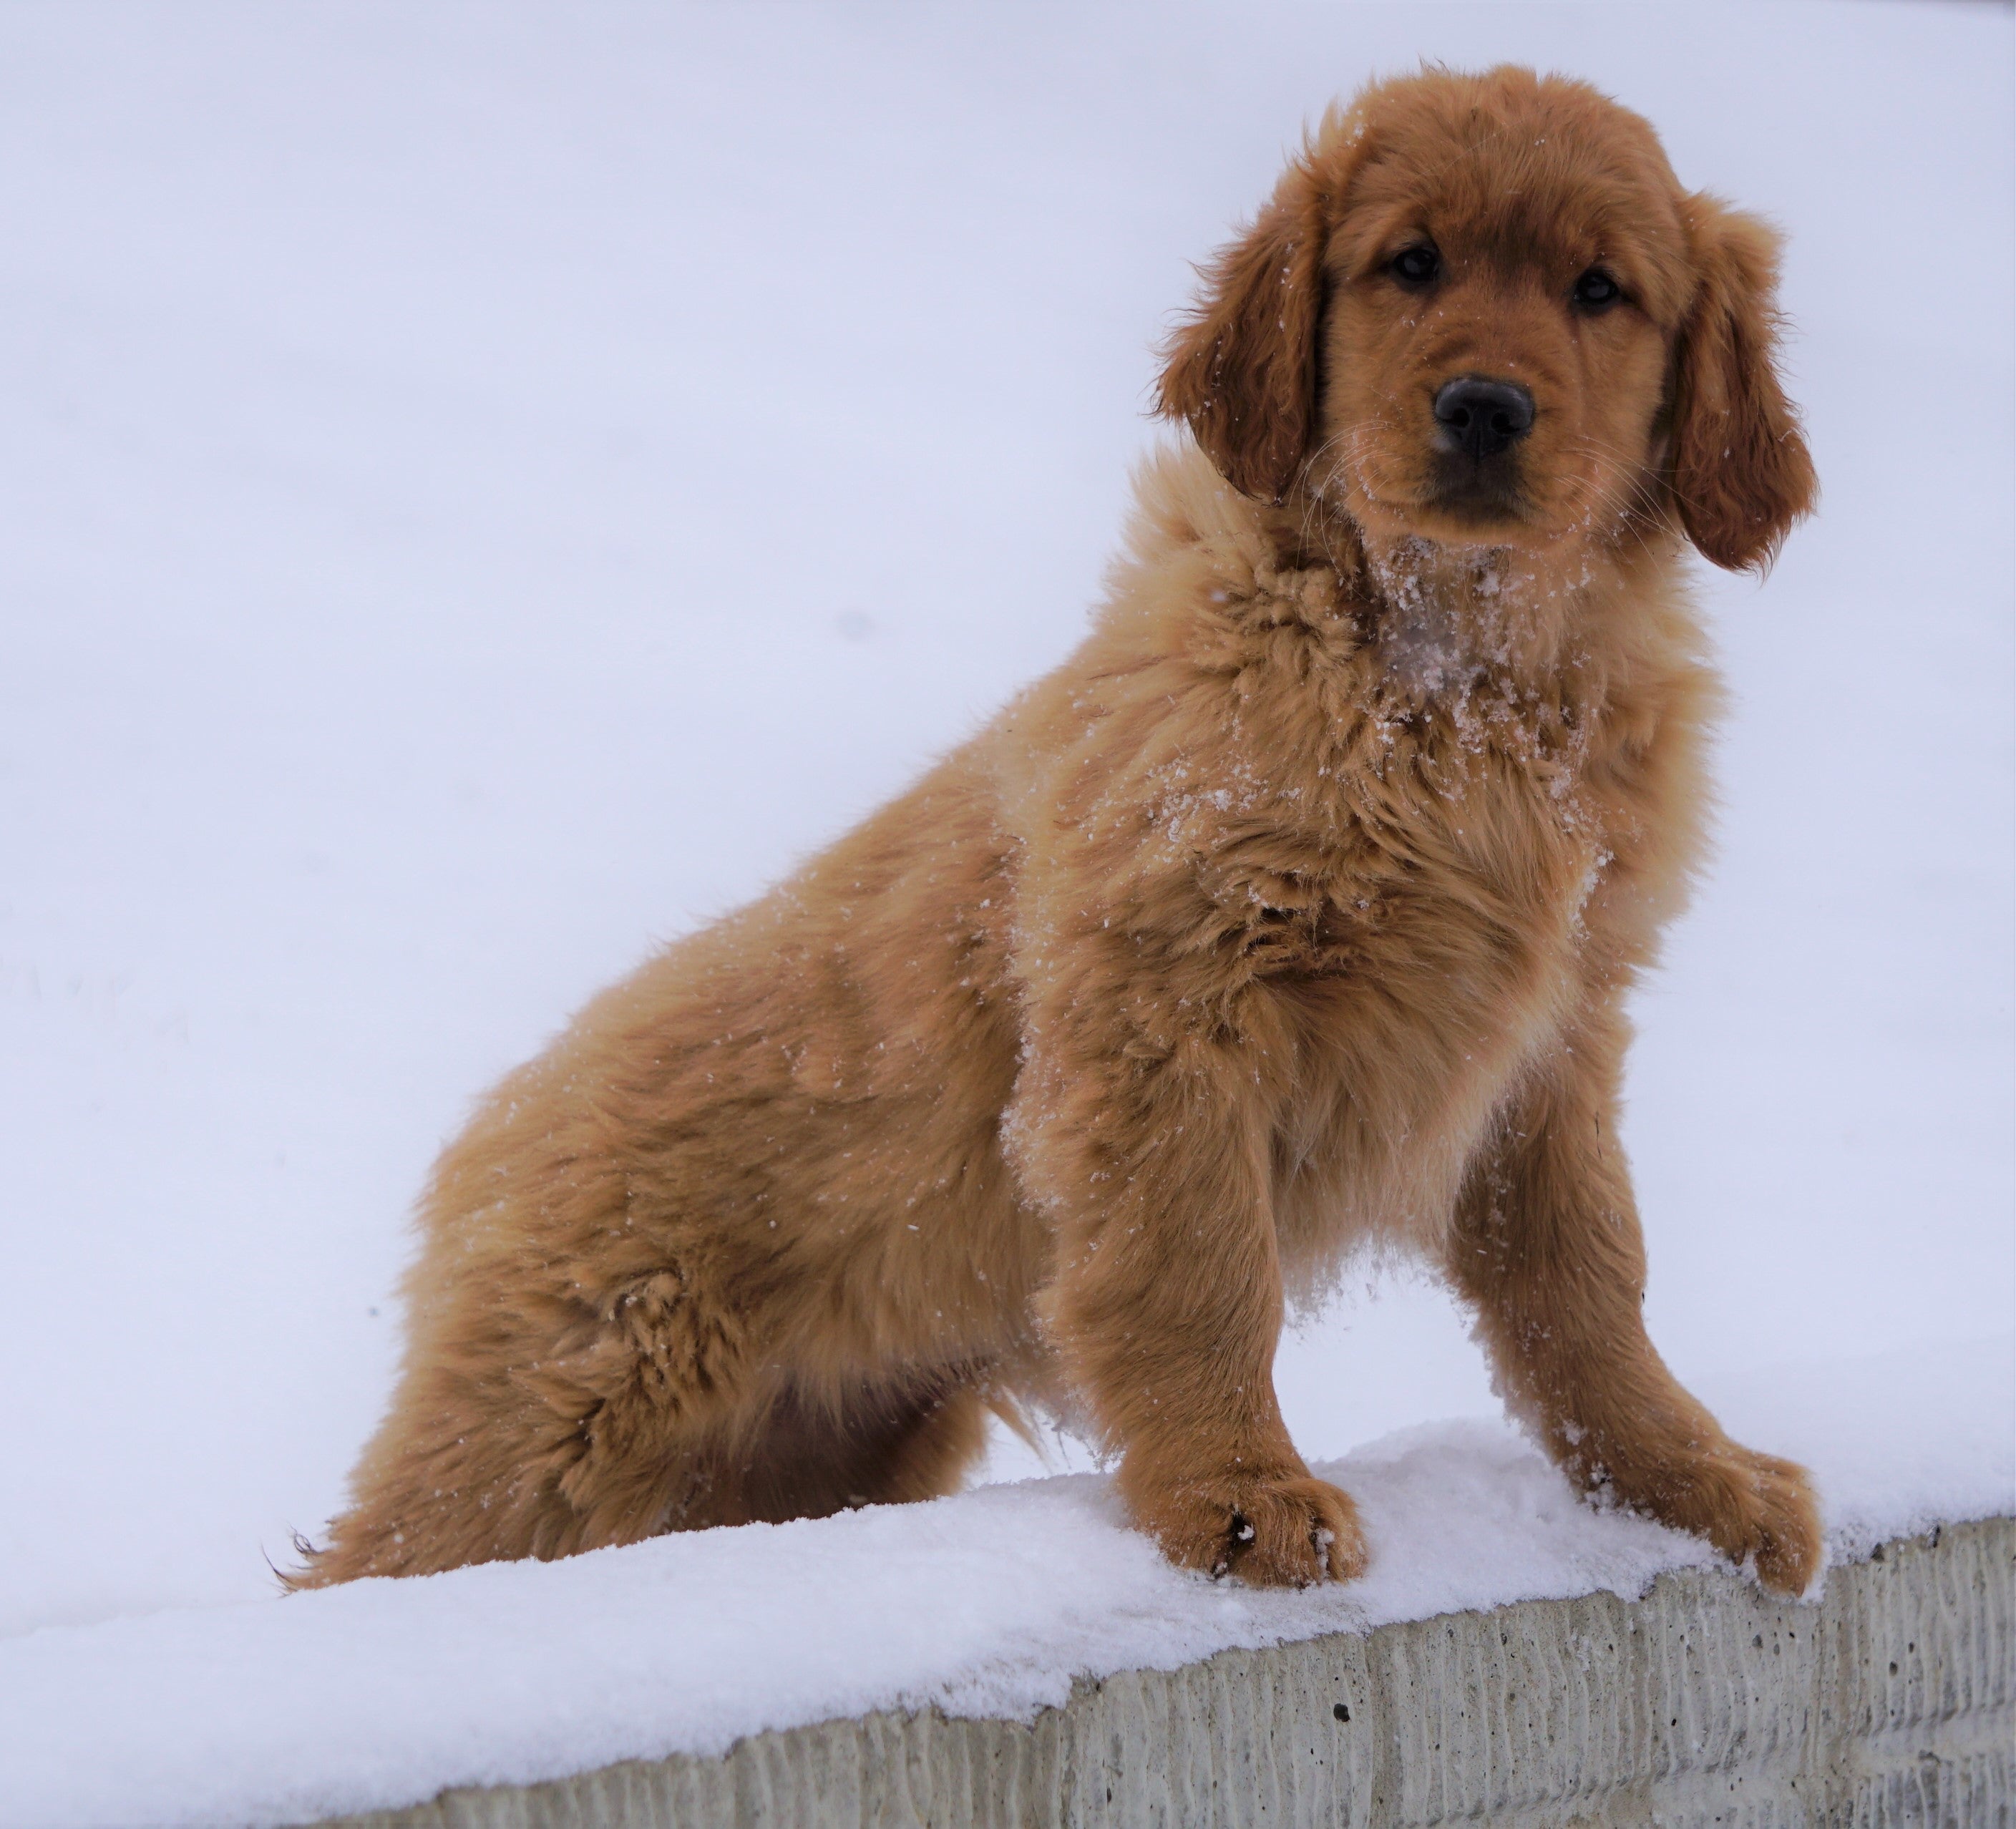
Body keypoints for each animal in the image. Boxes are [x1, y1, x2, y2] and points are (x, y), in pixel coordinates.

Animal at [298, 64, 1830, 1596]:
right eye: (1410, 264)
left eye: (1598, 291)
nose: (1483, 407)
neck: (1449, 682)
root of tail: (489, 1141)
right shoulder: (1166, 1009)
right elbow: (1199, 1277)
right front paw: (1237, 1495)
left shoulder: (1548, 1045)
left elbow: (1589, 1284)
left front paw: (1686, 1477)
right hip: (557, 1432)